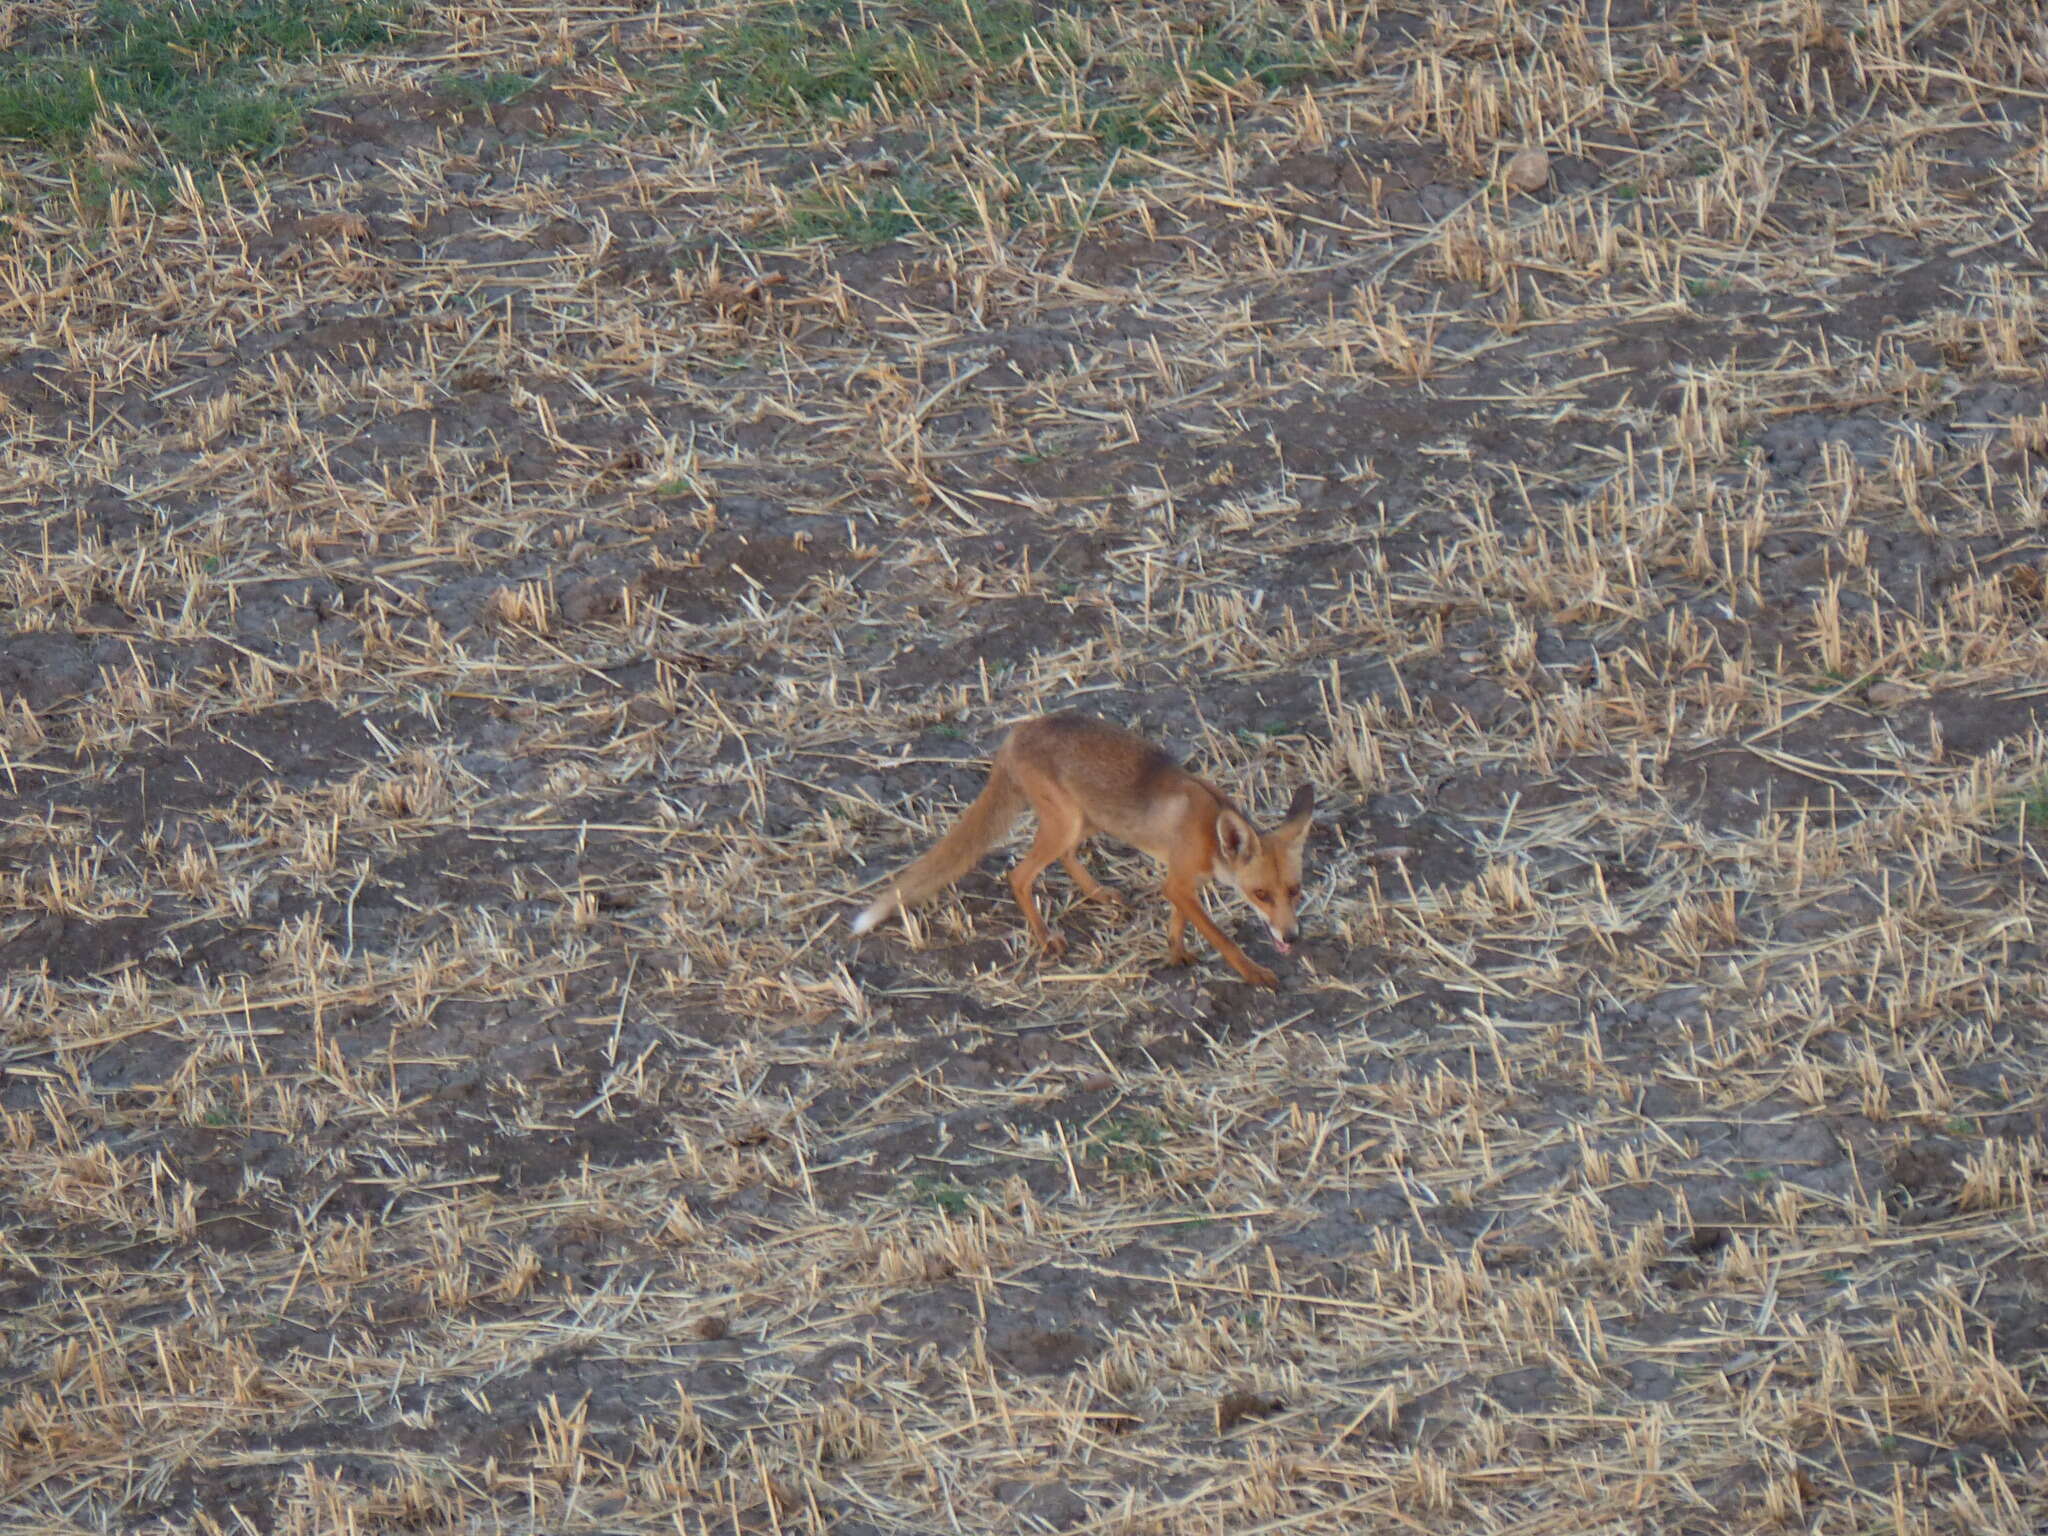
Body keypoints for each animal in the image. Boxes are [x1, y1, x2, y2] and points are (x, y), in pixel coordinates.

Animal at [843, 716, 1310, 991]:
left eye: (1295, 891)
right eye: (1261, 895)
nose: (1291, 937)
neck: (1210, 834)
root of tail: (1016, 733)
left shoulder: (1180, 882)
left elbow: (1179, 923)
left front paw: (1176, 954)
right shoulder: (1178, 881)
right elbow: (1220, 936)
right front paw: (1253, 973)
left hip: (1085, 820)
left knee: (1065, 858)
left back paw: (1098, 894)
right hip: (1065, 822)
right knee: (1019, 875)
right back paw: (1046, 937)